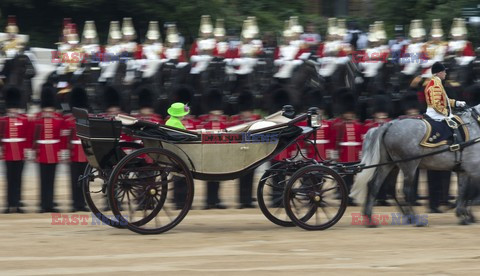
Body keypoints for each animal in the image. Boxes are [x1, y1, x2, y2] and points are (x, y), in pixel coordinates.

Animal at [350, 104, 480, 225]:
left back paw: (371, 218)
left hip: (389, 165)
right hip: (409, 165)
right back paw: (415, 219)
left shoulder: (463, 170)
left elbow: (464, 191)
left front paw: (463, 215)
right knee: (405, 190)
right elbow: (471, 192)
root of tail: (389, 124)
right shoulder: (473, 168)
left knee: (377, 185)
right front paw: (467, 215)